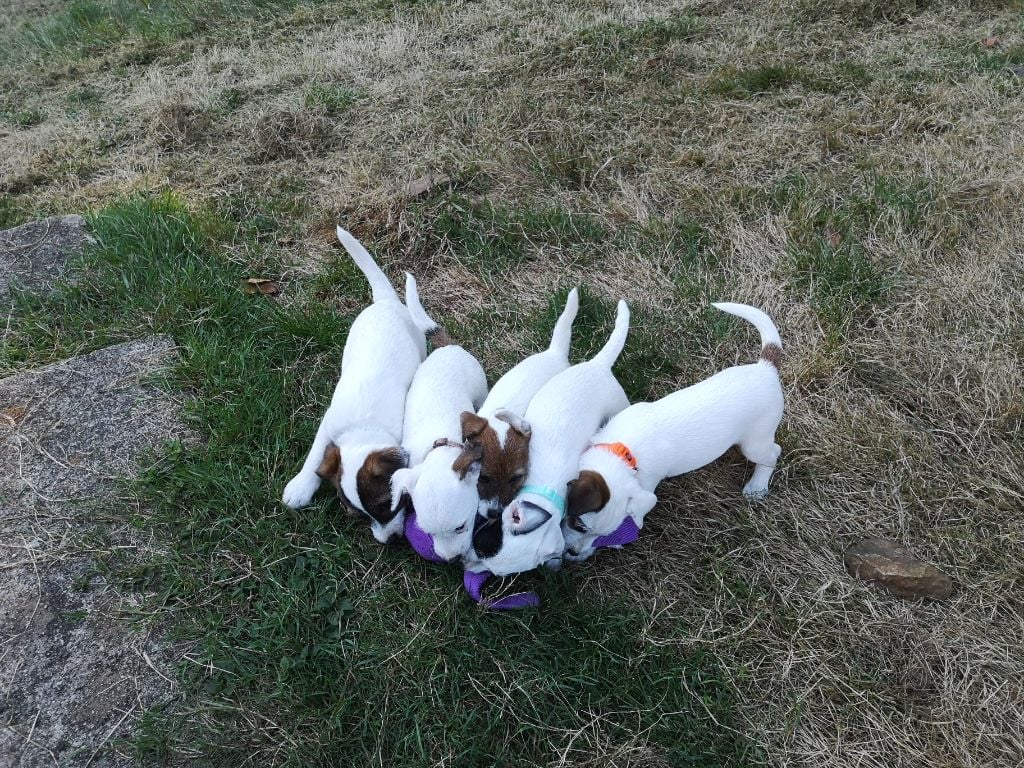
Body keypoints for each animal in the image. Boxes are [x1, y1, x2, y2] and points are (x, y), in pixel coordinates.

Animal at [282, 228, 438, 548]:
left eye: (388, 505)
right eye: (360, 516)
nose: (390, 541)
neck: (362, 429)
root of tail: (386, 301)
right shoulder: (328, 424)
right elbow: (315, 455)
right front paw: (302, 484)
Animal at [389, 344, 489, 561]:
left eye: (460, 527)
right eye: (428, 532)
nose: (452, 560)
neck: (442, 446)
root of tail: (450, 347)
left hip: (479, 387)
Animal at [561, 303, 782, 561]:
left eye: (599, 534)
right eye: (578, 525)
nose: (573, 553)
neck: (623, 452)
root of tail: (766, 368)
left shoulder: (646, 484)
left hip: (755, 441)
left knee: (773, 453)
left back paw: (757, 486)